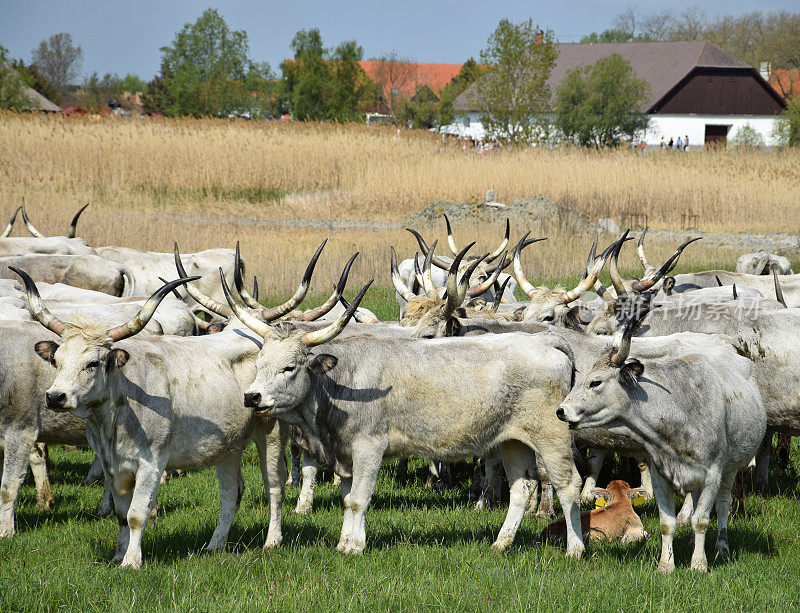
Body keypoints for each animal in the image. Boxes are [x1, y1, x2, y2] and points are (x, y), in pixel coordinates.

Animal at [222, 280, 584, 556]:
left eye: (289, 367)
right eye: (260, 363)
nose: (252, 397)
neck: (340, 381)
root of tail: (546, 341)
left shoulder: (369, 447)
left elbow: (359, 499)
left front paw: (353, 547)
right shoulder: (345, 454)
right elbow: (348, 498)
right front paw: (344, 542)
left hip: (551, 436)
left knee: (569, 486)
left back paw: (575, 549)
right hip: (512, 441)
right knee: (521, 488)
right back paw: (501, 543)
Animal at [560, 314, 764, 572]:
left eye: (595, 382)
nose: (561, 410)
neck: (678, 412)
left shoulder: (712, 475)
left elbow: (701, 520)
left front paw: (699, 564)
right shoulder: (661, 474)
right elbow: (667, 522)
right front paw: (666, 565)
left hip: (731, 469)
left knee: (723, 504)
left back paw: (721, 546)